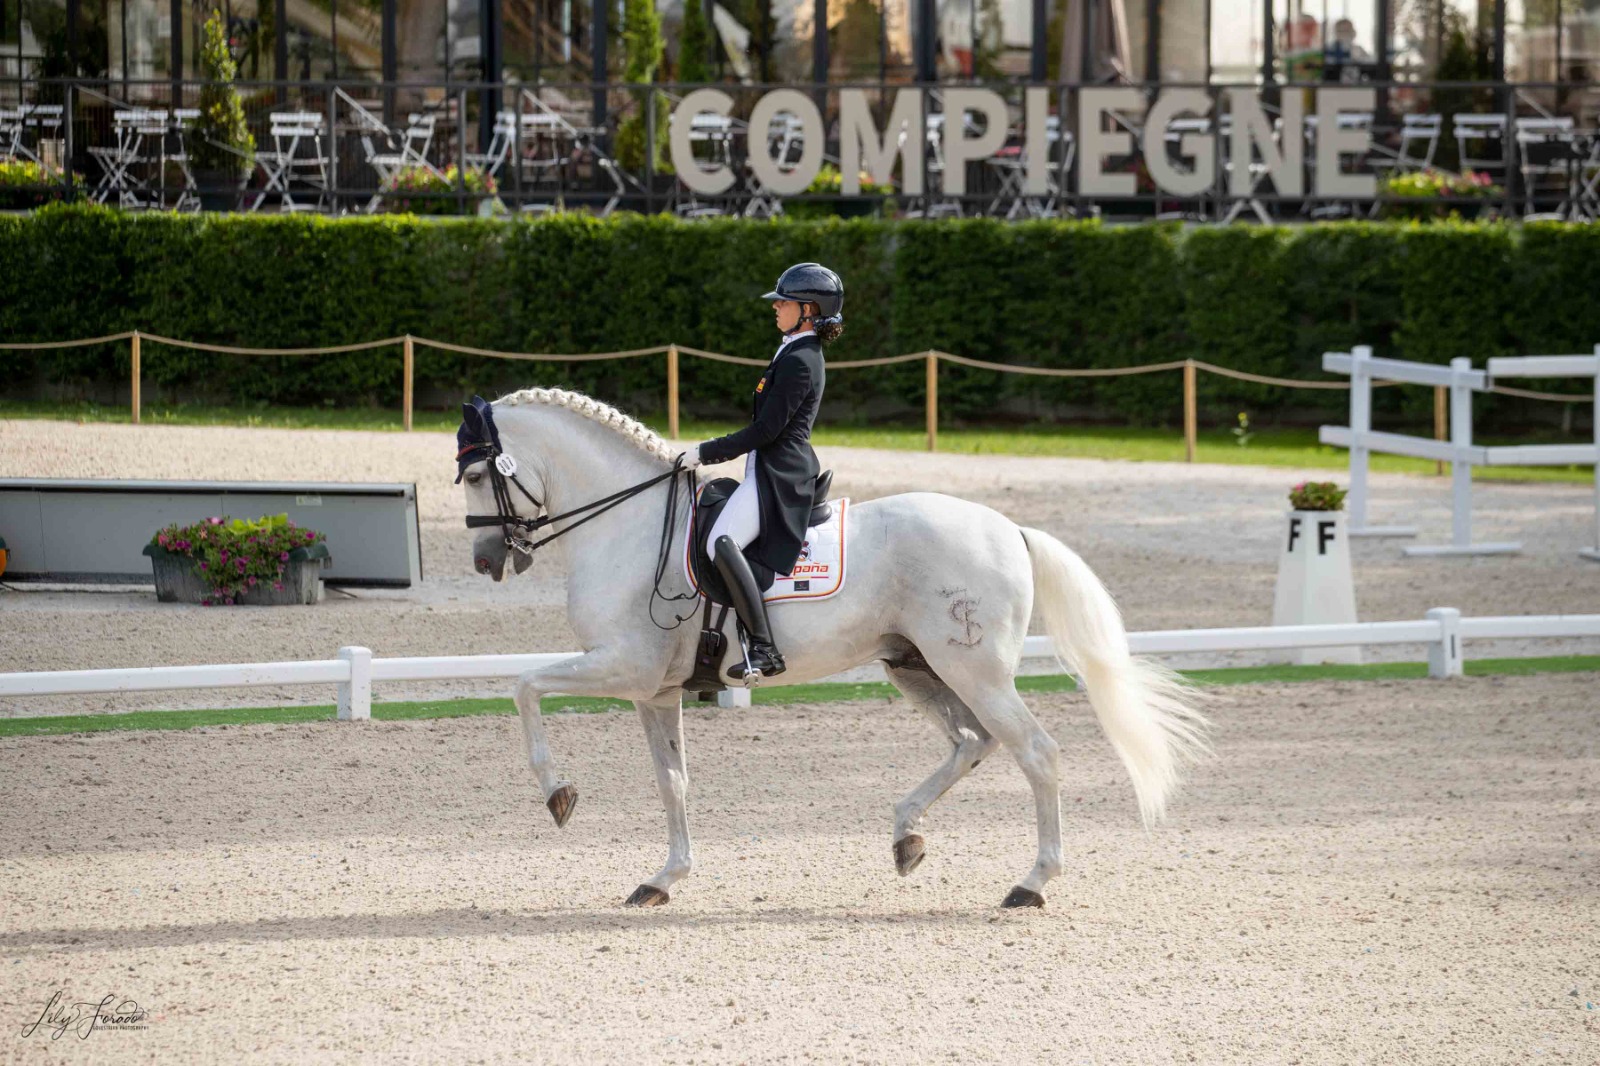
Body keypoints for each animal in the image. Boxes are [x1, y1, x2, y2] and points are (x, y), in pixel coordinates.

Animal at [464, 388, 1209, 902]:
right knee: (972, 742)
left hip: (975, 669)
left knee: (1036, 752)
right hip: (915, 666)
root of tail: (1009, 528)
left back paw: (1031, 883)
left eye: (474, 476)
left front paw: (558, 794)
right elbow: (672, 781)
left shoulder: (623, 668)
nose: (485, 559)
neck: (631, 525)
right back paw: (906, 836)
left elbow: (524, 687)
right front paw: (664, 879)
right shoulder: (656, 690)